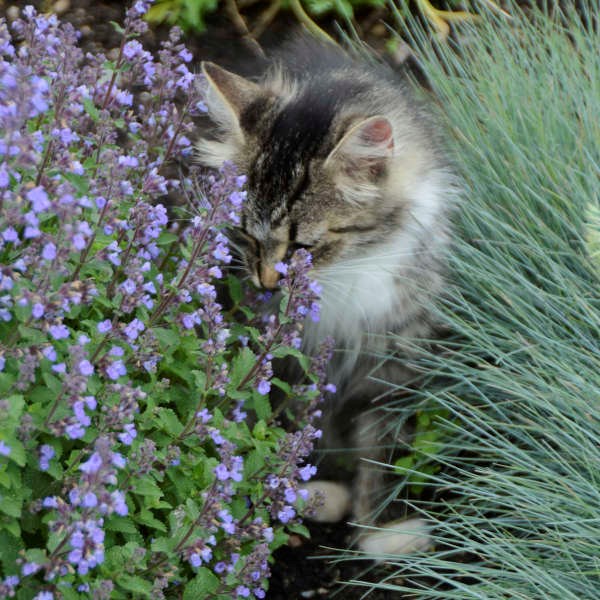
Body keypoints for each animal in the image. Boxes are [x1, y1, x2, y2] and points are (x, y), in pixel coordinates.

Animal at [195, 35, 458, 556]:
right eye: (246, 235)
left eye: (302, 248)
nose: (267, 284)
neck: (351, 271)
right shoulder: (292, 362)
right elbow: (293, 425)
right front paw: (299, 489)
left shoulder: (394, 359)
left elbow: (383, 448)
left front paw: (379, 530)